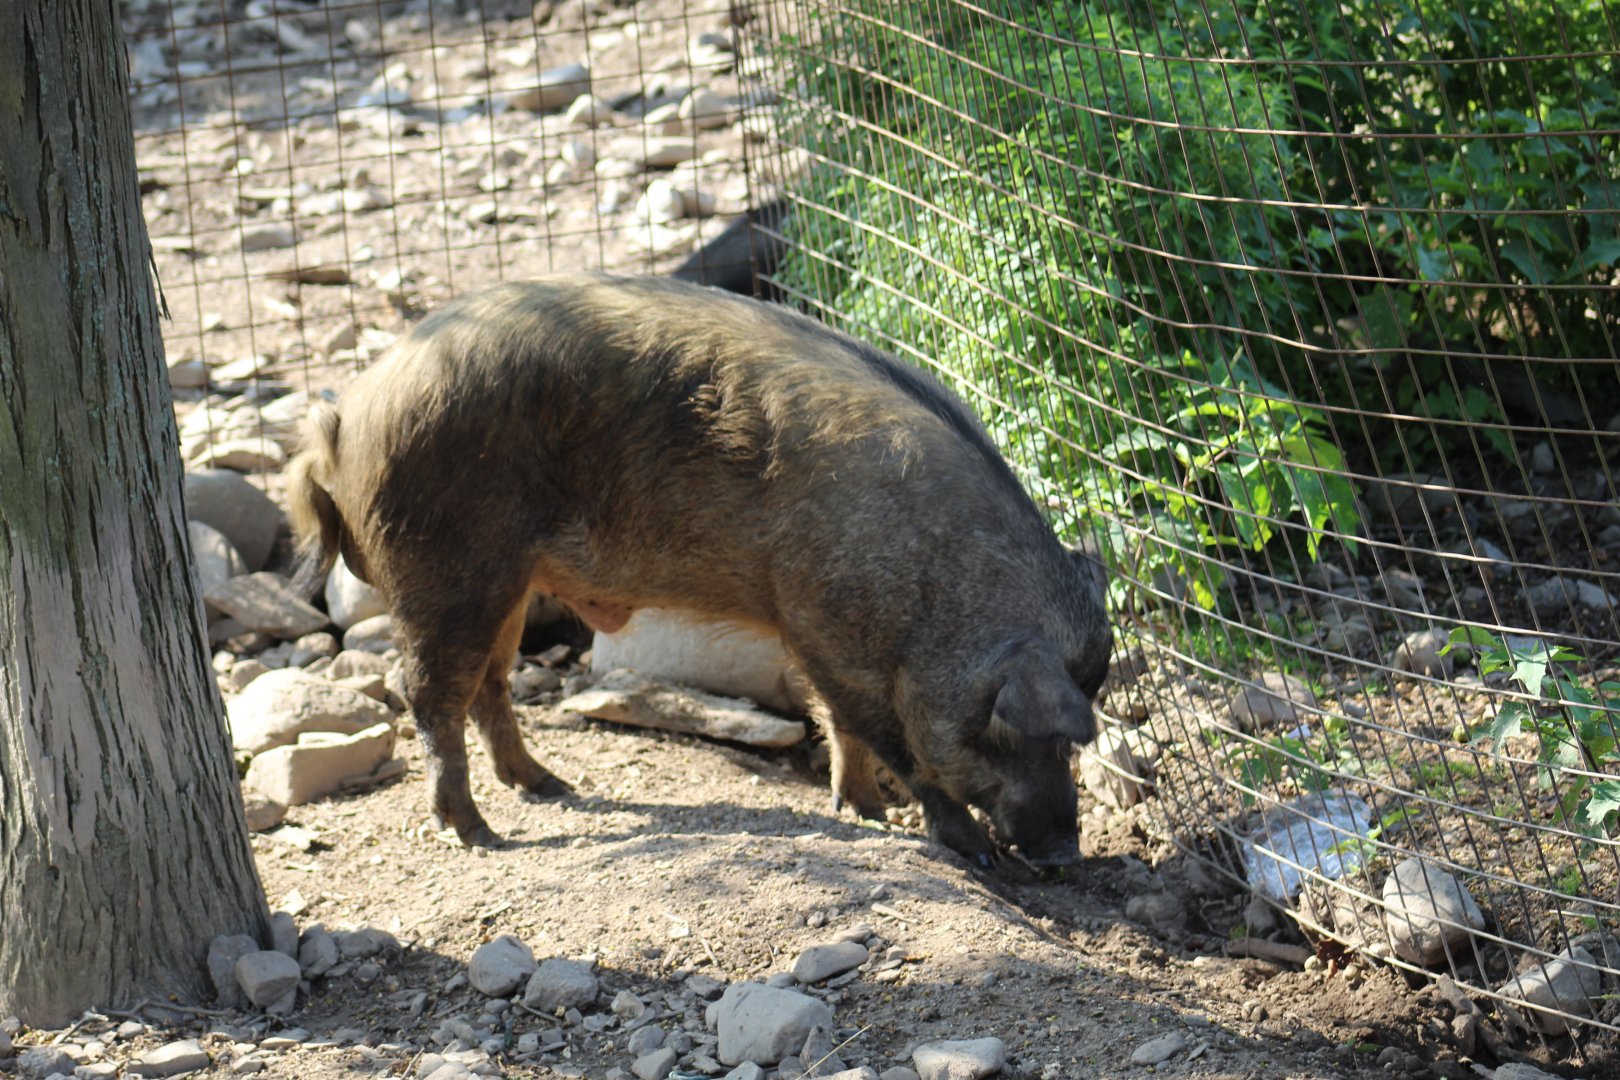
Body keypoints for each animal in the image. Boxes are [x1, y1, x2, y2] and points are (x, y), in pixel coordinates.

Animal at [287, 273, 1111, 868]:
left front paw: (867, 813)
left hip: (503, 580)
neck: (935, 589)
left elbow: (842, 727)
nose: (1067, 857)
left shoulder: (821, 629)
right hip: (446, 568)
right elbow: (887, 738)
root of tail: (345, 417)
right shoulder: (822, 623)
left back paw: (550, 787)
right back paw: (481, 834)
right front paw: (965, 850)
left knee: (488, 685)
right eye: (1017, 729)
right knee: (428, 695)